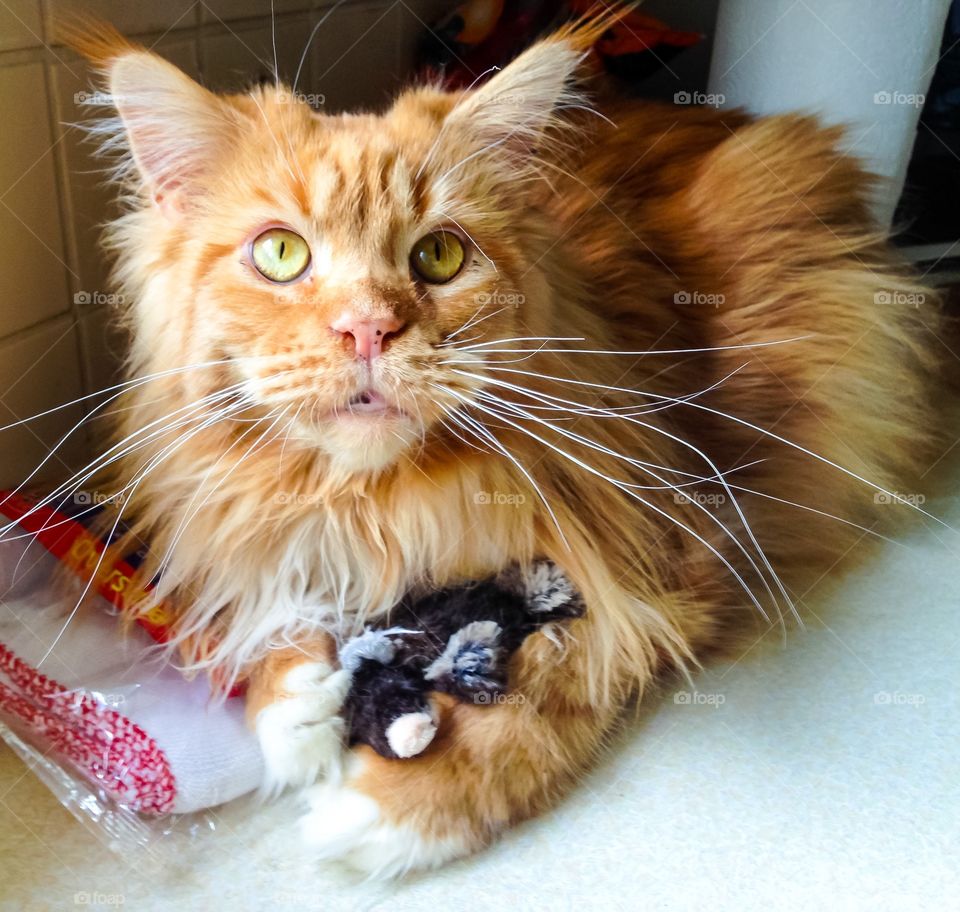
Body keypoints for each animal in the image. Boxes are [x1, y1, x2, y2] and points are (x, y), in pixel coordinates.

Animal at [63, 8, 940, 876]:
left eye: (439, 255)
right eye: (281, 254)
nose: (368, 329)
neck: (372, 505)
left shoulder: (693, 551)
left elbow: (562, 677)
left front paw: (410, 798)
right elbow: (271, 605)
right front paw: (294, 703)